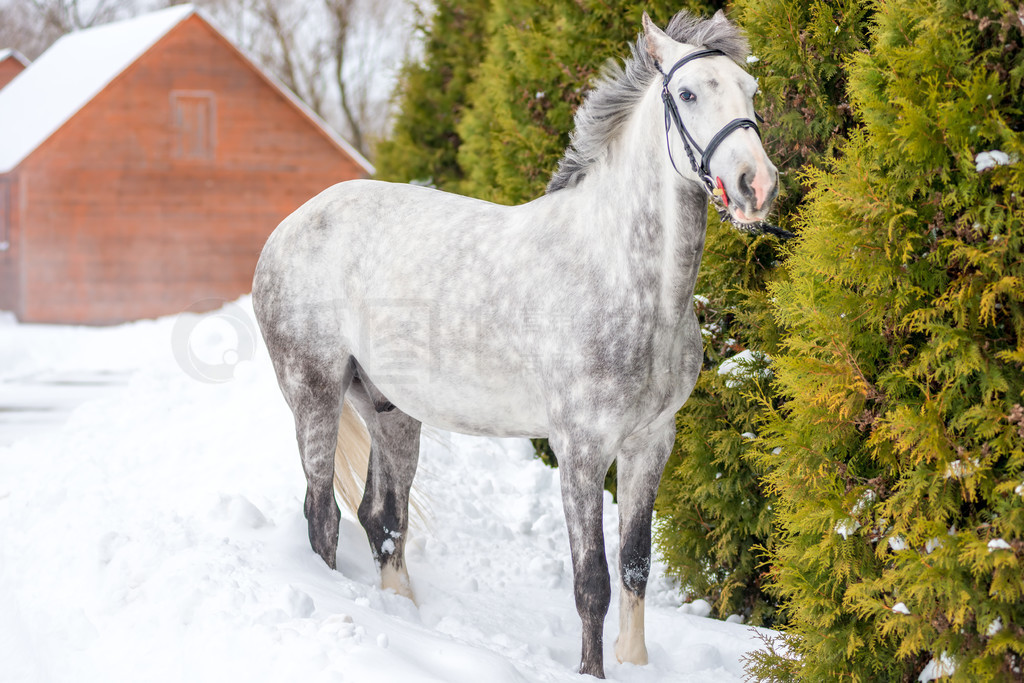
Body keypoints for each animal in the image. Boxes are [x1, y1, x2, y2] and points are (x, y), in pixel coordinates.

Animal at [253, 10, 774, 679]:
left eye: (749, 90)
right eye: (686, 94)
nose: (756, 185)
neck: (621, 274)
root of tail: (288, 226)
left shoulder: (650, 443)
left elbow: (634, 565)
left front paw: (634, 663)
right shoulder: (580, 449)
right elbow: (592, 582)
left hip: (390, 409)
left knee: (381, 517)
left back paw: (406, 615)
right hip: (314, 393)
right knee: (322, 516)